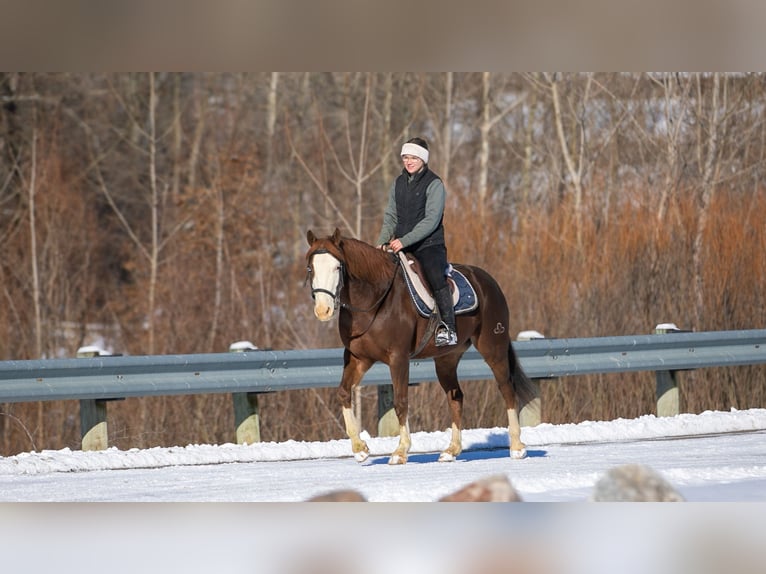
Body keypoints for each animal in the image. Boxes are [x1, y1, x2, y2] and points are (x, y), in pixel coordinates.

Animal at [304, 230, 536, 468]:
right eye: (310, 268)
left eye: (337, 267)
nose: (323, 310)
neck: (374, 301)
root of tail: (488, 281)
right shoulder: (358, 358)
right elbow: (343, 392)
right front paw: (360, 449)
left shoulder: (398, 357)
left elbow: (400, 401)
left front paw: (400, 451)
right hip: (446, 360)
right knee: (456, 397)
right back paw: (451, 450)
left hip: (493, 348)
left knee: (507, 389)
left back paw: (517, 447)